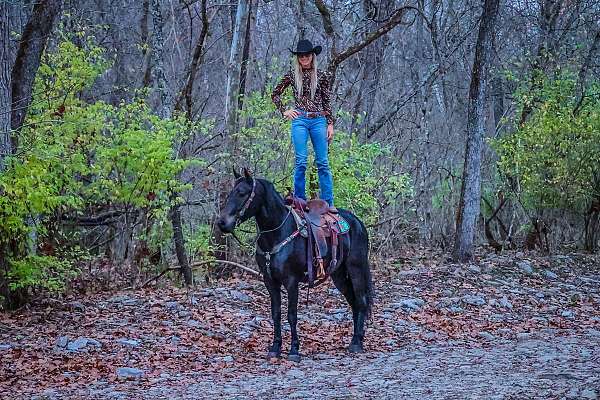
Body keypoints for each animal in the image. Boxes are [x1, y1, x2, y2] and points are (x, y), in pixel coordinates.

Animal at [218, 167, 372, 360]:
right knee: (353, 302)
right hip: (338, 275)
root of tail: (357, 223)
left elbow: (292, 315)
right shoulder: (270, 281)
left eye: (241, 193)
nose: (222, 223)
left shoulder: (291, 281)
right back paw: (356, 338)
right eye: (231, 192)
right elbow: (276, 313)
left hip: (355, 269)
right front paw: (275, 348)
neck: (277, 233)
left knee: (361, 301)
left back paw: (357, 343)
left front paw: (294, 350)